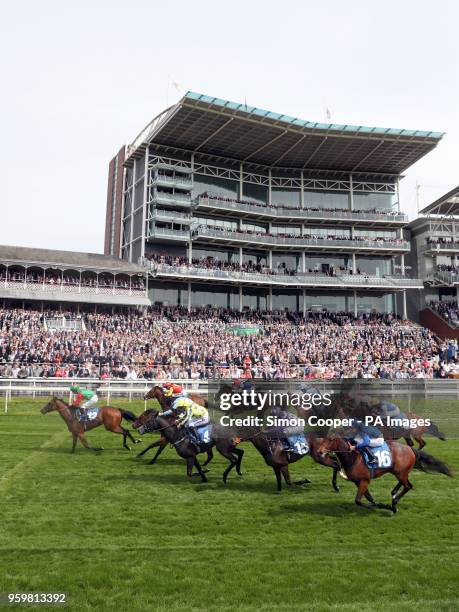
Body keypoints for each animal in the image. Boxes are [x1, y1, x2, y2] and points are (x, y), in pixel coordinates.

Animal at [316, 436, 452, 512]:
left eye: (331, 440)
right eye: (322, 439)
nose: (320, 451)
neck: (353, 457)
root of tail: (410, 449)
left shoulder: (364, 480)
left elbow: (358, 501)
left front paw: (383, 506)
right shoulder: (358, 482)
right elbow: (369, 498)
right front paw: (382, 505)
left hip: (400, 473)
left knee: (408, 486)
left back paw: (394, 503)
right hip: (399, 472)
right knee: (405, 484)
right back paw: (393, 495)